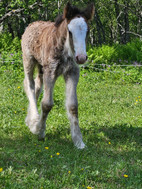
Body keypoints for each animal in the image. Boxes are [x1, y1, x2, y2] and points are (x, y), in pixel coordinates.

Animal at [21, 2, 94, 148]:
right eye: (70, 31)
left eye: (87, 31)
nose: (81, 57)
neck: (65, 51)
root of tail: (31, 25)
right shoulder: (51, 71)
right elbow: (47, 104)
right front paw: (40, 132)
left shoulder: (72, 72)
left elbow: (73, 106)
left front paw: (79, 141)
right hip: (29, 60)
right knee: (29, 85)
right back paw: (34, 121)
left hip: (41, 67)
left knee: (38, 86)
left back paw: (30, 120)